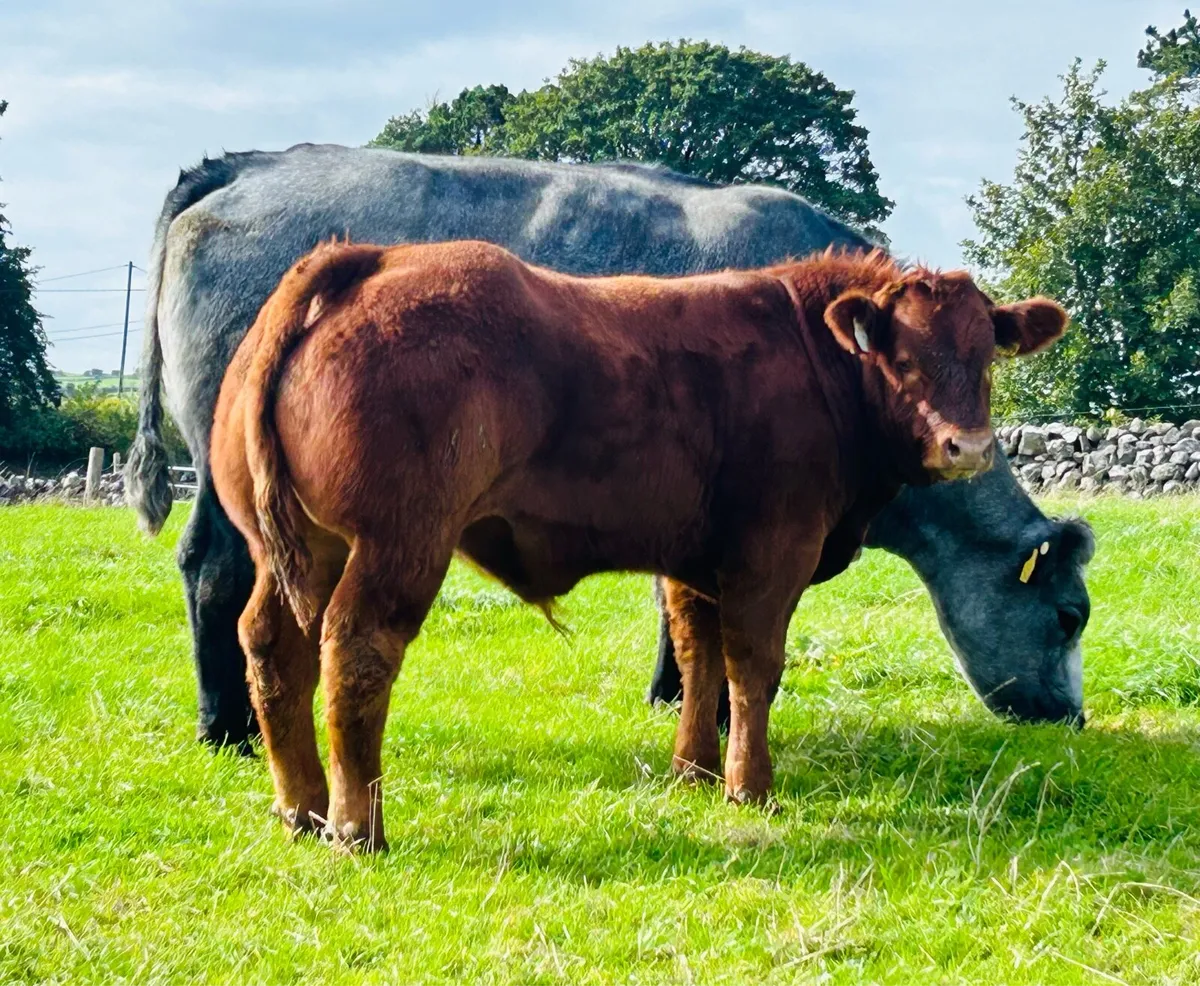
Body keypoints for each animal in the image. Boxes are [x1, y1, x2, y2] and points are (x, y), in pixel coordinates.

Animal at [125, 143, 1092, 748]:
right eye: (1069, 616)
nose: (1074, 718)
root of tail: (242, 165)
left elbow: (681, 603)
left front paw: (674, 699)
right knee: (214, 571)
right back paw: (227, 730)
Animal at [209, 238, 1065, 849]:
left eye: (986, 357)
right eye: (905, 357)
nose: (966, 447)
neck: (818, 365)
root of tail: (371, 258)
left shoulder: (696, 560)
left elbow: (698, 656)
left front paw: (692, 771)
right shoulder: (773, 549)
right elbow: (753, 665)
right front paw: (750, 785)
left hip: (298, 547)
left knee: (271, 645)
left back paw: (302, 809)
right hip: (400, 540)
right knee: (356, 650)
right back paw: (359, 826)